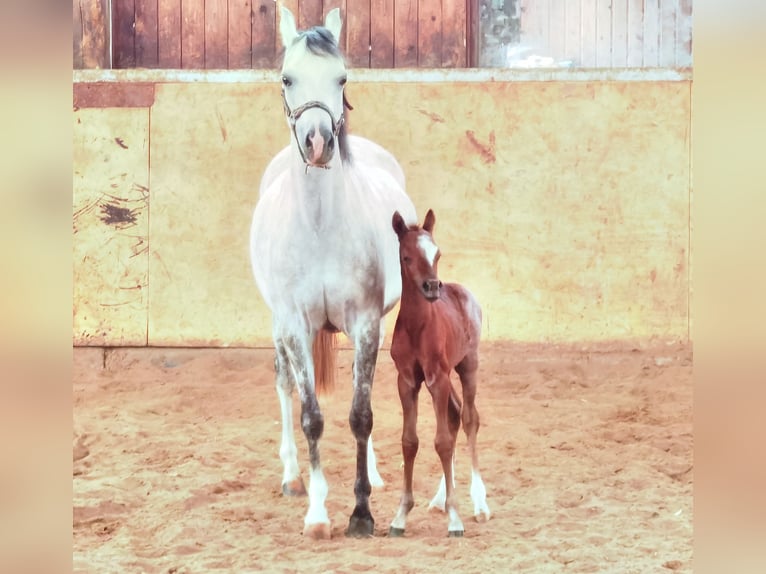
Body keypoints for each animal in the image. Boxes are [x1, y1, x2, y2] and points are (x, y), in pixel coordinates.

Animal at [249, 7, 417, 539]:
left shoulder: (365, 324)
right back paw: (291, 477)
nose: (319, 141)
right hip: (277, 326)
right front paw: (318, 514)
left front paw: (362, 511)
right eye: (287, 77)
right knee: (283, 383)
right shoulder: (296, 327)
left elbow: (360, 414)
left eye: (341, 77)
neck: (321, 226)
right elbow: (312, 417)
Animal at [388, 209, 491, 537]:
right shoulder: (407, 381)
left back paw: (479, 504)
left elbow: (442, 442)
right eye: (406, 257)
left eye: (437, 254)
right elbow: (410, 442)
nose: (433, 287)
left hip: (467, 365)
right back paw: (439, 499)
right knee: (456, 415)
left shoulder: (437, 379)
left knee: (469, 419)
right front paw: (400, 517)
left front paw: (455, 518)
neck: (417, 327)